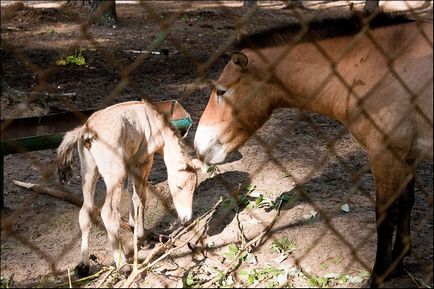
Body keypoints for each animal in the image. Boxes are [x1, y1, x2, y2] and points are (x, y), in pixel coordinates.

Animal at [195, 12, 432, 286]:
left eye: (221, 91)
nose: (199, 146)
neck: (382, 65)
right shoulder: (406, 156)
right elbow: (406, 204)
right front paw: (397, 265)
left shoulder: (385, 156)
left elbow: (385, 217)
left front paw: (378, 276)